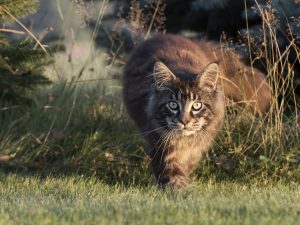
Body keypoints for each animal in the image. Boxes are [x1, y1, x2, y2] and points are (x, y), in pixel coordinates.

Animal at [122, 33, 270, 188]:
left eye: (197, 105)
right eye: (173, 105)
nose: (184, 121)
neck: (184, 141)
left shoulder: (196, 148)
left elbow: (186, 166)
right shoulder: (160, 142)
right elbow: (170, 169)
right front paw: (177, 187)